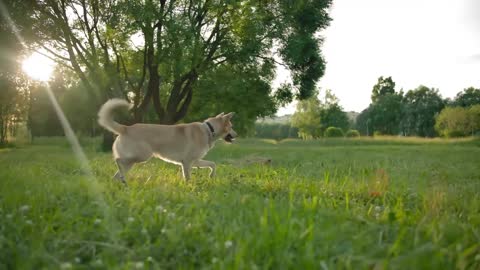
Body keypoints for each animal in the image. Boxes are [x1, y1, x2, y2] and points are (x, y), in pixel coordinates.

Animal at [98, 99, 238, 184]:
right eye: (231, 126)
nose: (237, 135)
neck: (209, 130)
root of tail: (126, 128)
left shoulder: (194, 161)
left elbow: (212, 164)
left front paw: (211, 176)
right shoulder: (187, 162)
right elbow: (188, 177)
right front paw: (189, 187)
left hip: (134, 161)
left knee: (117, 174)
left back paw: (122, 184)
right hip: (142, 156)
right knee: (118, 161)